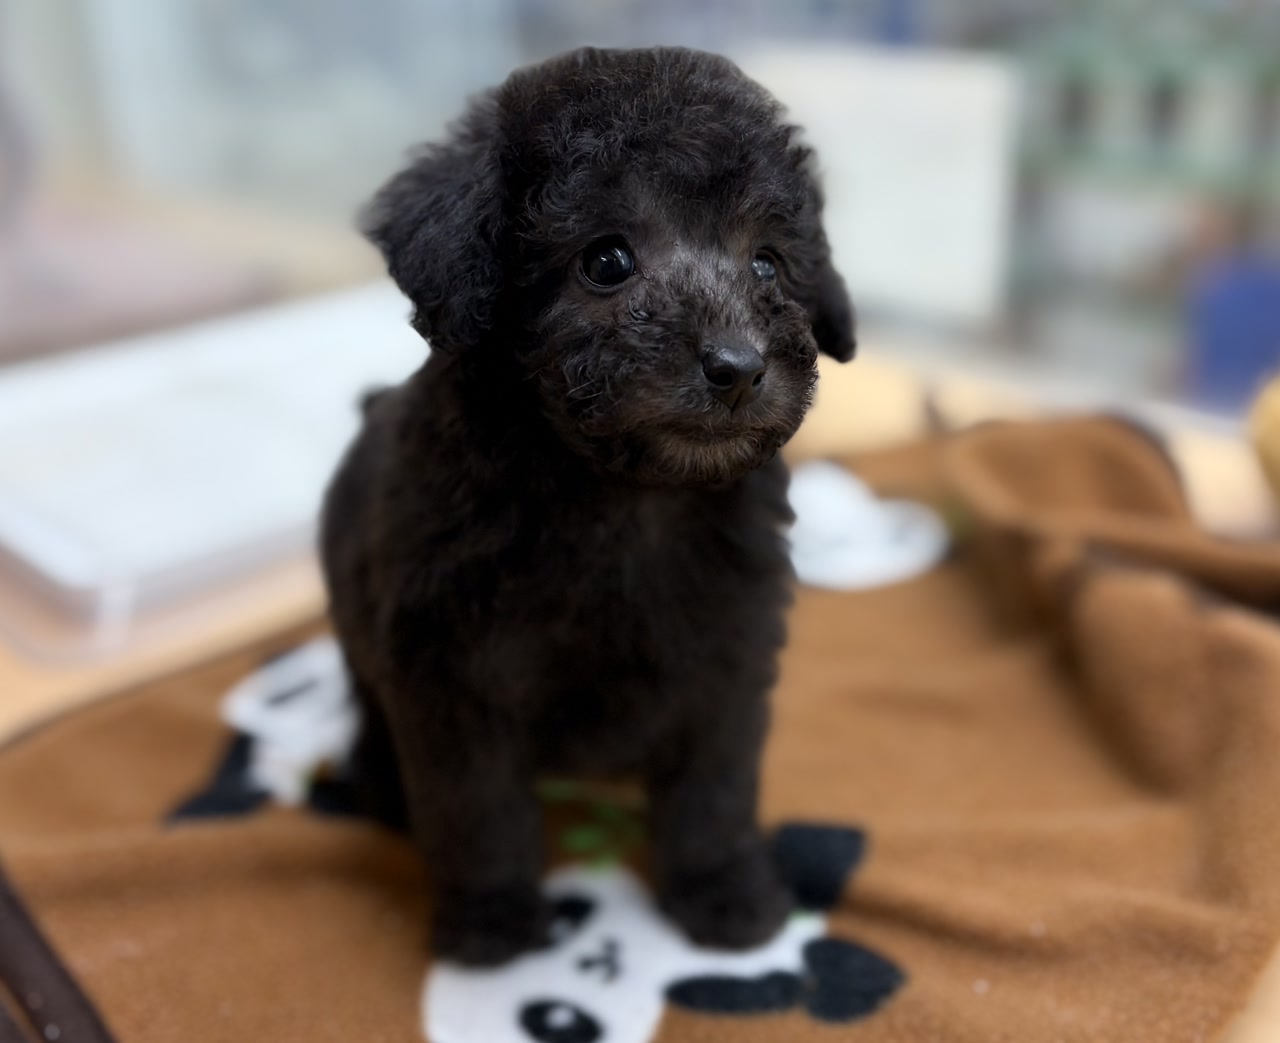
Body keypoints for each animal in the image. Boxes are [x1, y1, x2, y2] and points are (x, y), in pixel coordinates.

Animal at [321, 46, 856, 966]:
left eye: (768, 264)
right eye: (606, 261)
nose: (738, 365)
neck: (620, 494)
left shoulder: (725, 655)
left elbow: (715, 788)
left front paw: (725, 890)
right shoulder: (453, 679)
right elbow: (476, 809)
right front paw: (492, 918)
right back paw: (379, 780)